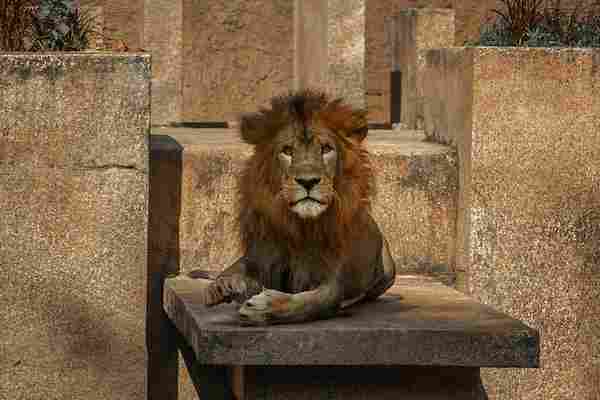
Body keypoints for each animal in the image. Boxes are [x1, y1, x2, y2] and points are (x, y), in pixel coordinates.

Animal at [202, 89, 396, 324]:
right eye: (287, 151)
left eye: (326, 149)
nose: (308, 181)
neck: (300, 226)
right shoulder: (262, 255)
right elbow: (238, 268)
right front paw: (227, 285)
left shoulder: (332, 281)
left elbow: (312, 302)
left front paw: (263, 307)